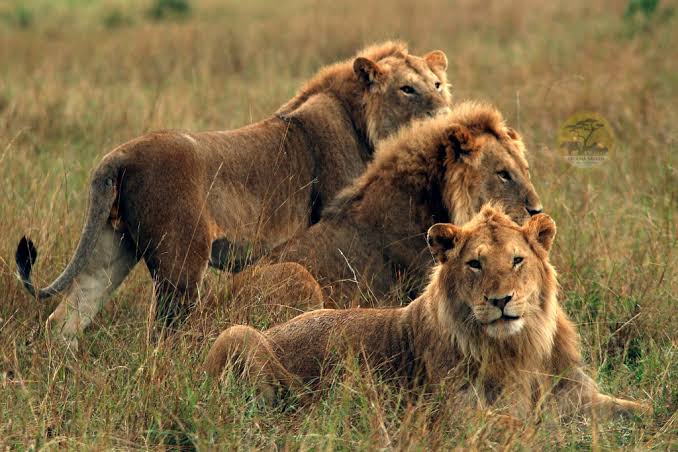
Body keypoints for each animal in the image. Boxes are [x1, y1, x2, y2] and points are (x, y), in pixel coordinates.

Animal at [14, 41, 451, 345]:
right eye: (408, 89)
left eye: (437, 84)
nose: (447, 112)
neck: (359, 120)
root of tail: (118, 156)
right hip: (181, 260)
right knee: (167, 332)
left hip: (111, 248)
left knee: (66, 318)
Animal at [204, 205, 648, 417]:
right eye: (475, 264)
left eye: (518, 260)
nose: (500, 300)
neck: (523, 345)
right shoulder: (459, 416)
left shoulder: (577, 396)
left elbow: (644, 411)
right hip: (238, 334)